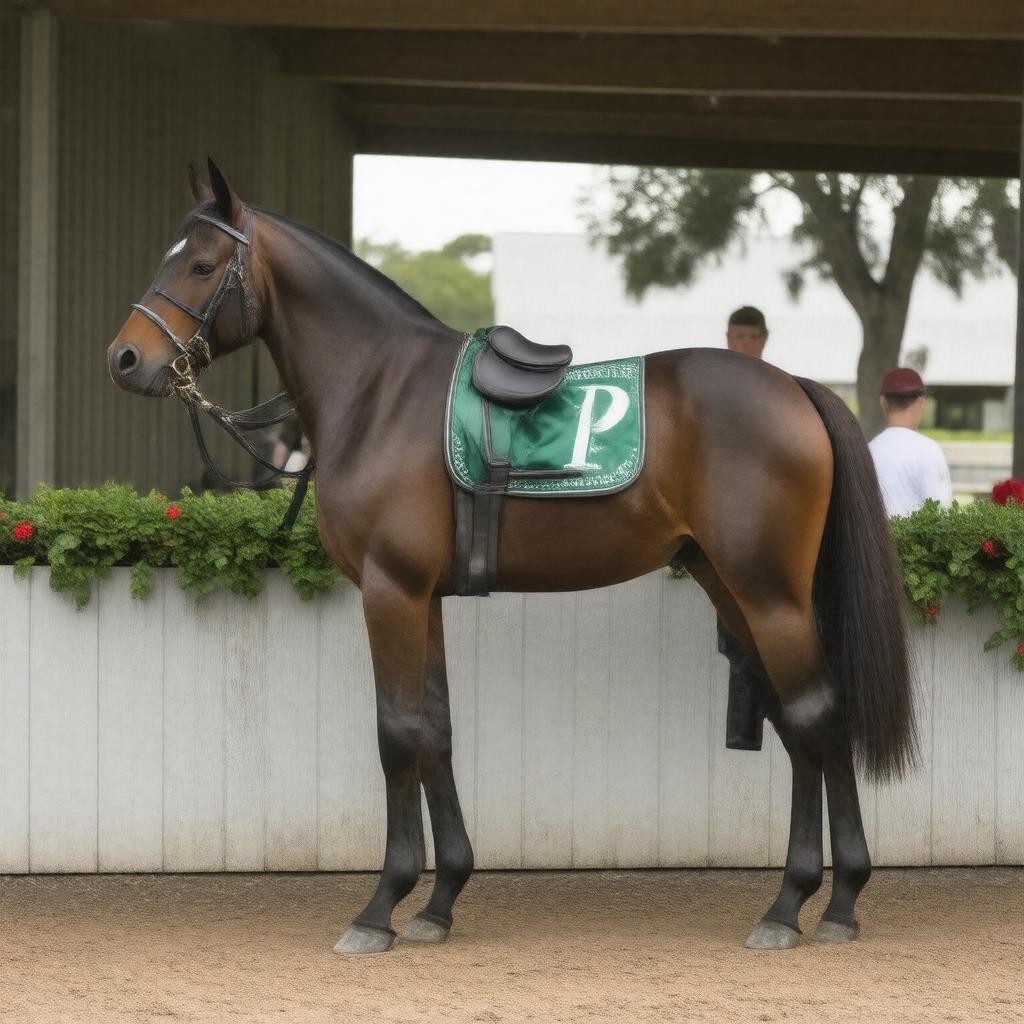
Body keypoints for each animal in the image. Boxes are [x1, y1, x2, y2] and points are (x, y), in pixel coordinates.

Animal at [107, 160, 916, 955]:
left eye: (202, 265)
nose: (125, 358)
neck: (380, 391)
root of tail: (797, 390)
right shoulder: (423, 598)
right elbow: (435, 731)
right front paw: (440, 900)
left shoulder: (389, 591)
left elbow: (396, 733)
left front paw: (381, 906)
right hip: (728, 583)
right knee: (796, 723)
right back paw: (819, 899)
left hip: (769, 591)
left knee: (814, 715)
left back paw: (809, 902)